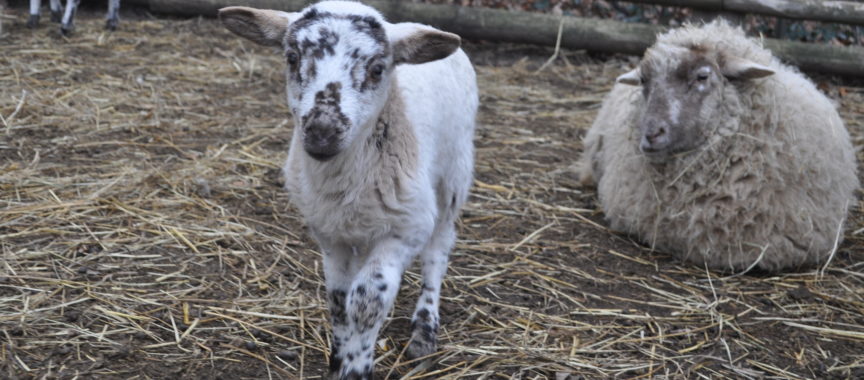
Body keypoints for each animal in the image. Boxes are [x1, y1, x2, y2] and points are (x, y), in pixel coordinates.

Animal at [218, 1, 480, 378]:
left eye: (377, 69)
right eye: (292, 58)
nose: (322, 132)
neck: (345, 181)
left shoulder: (408, 228)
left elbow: (367, 299)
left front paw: (357, 366)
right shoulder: (329, 235)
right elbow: (339, 301)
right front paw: (339, 358)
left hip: (454, 175)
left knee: (438, 249)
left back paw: (425, 328)